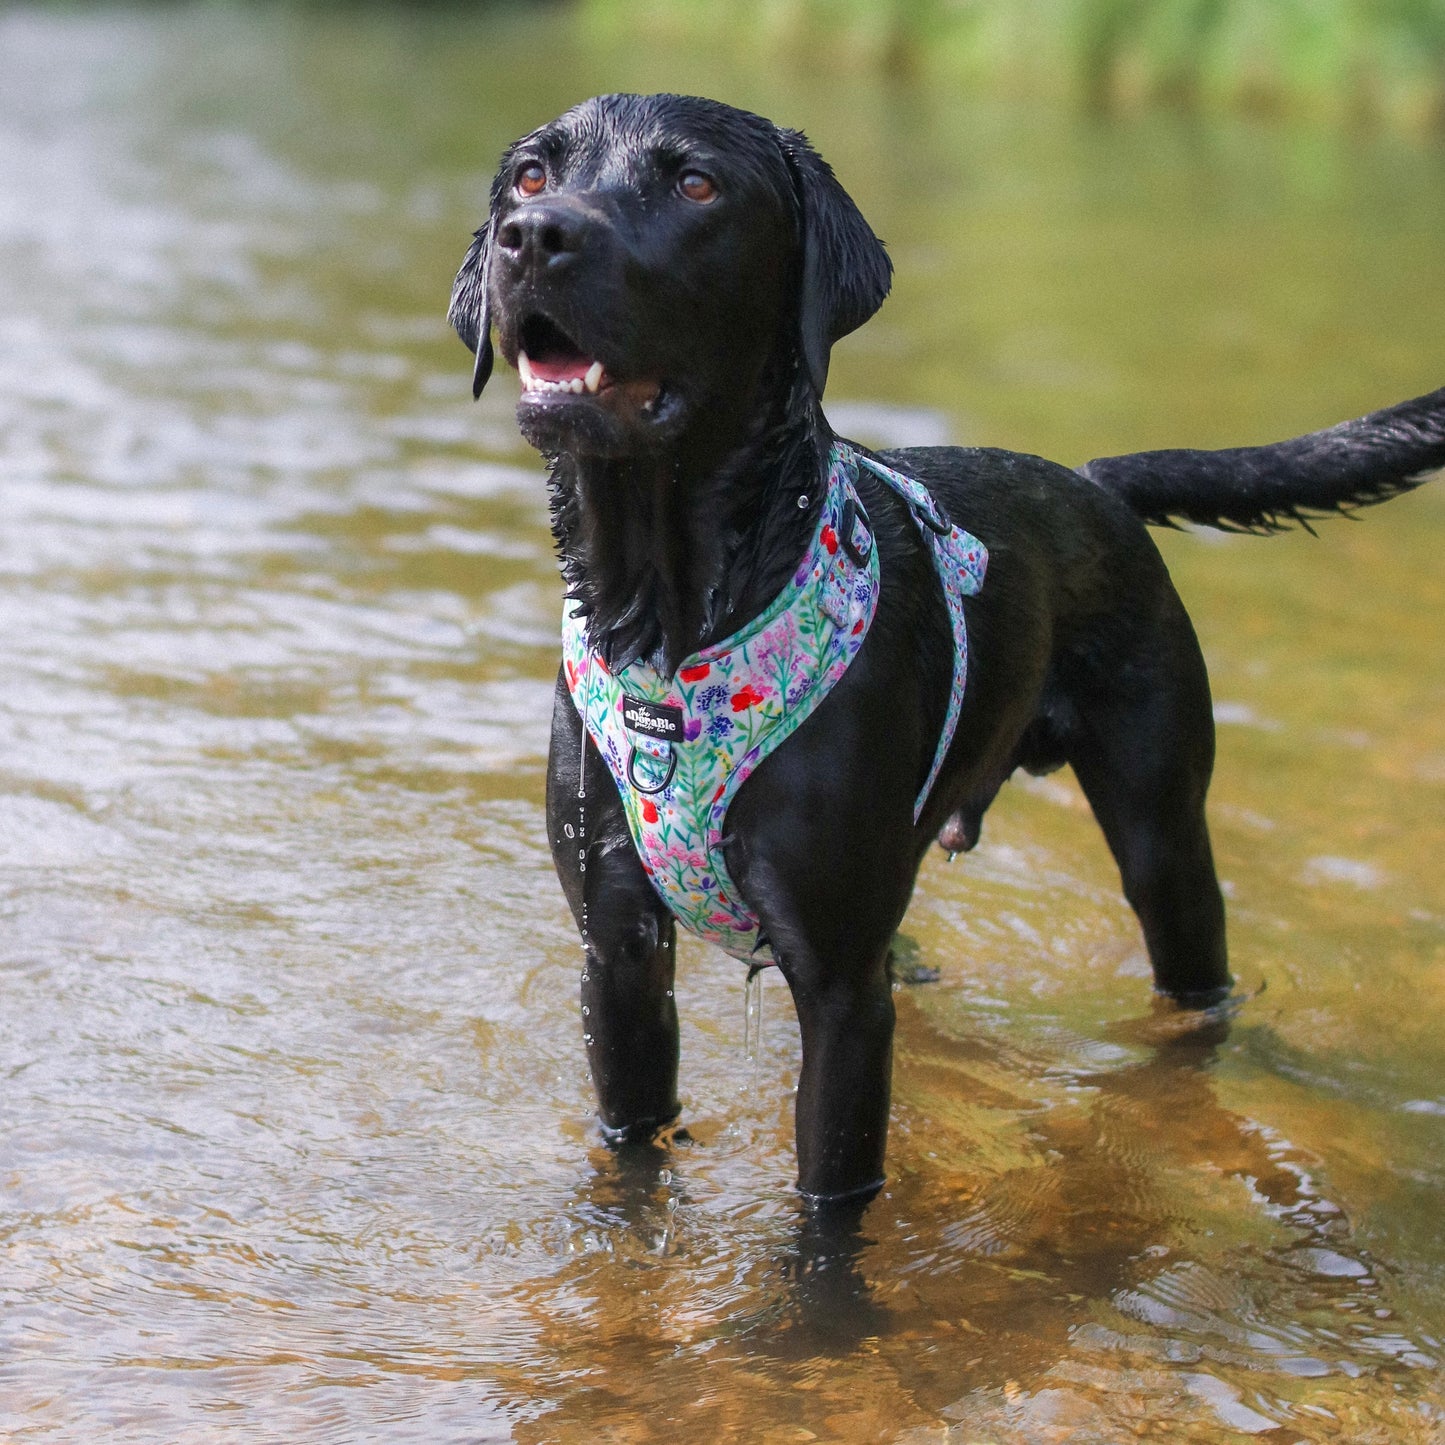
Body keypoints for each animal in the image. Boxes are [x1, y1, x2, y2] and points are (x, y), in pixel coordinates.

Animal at [445, 93, 1439, 1208]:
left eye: (694, 183)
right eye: (531, 175)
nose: (534, 235)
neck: (675, 619)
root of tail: (1095, 483)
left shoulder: (838, 986)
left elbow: (828, 1208)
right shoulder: (615, 954)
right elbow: (631, 1150)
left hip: (1162, 832)